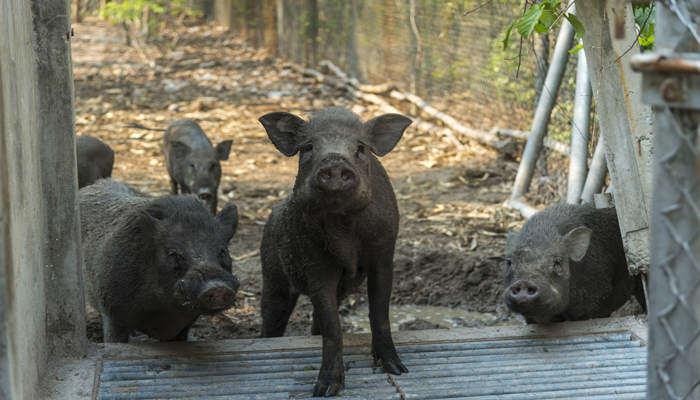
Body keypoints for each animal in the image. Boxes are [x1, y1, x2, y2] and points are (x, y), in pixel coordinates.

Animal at [258, 107, 410, 396]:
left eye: (360, 148)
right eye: (308, 147)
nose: (335, 163)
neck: (345, 230)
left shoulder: (384, 254)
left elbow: (380, 313)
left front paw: (398, 370)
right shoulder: (315, 265)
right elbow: (333, 327)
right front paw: (324, 390)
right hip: (272, 276)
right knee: (272, 320)